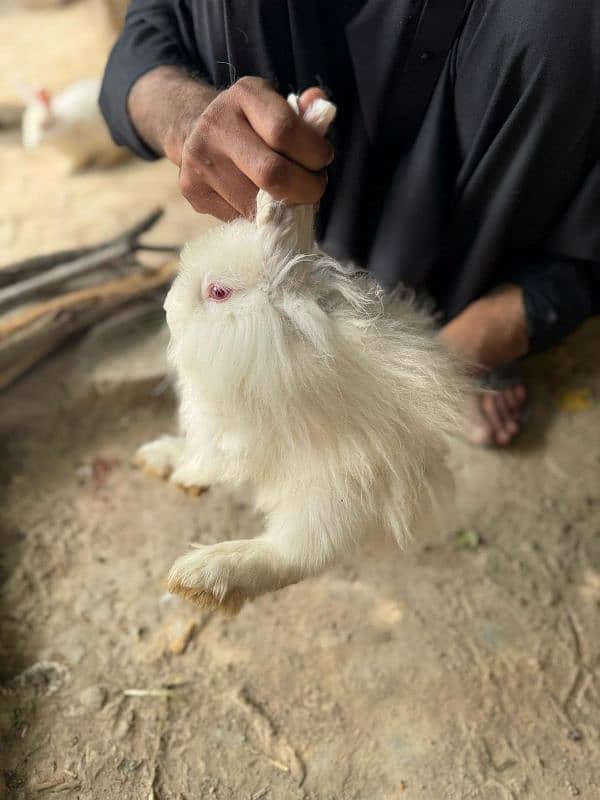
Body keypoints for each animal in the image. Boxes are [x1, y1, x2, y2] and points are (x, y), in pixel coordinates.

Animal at [138, 97, 466, 616]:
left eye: (218, 292)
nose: (169, 309)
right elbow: (201, 453)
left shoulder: (238, 431)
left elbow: (214, 460)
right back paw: (158, 461)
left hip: (328, 495)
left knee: (295, 555)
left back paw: (203, 576)